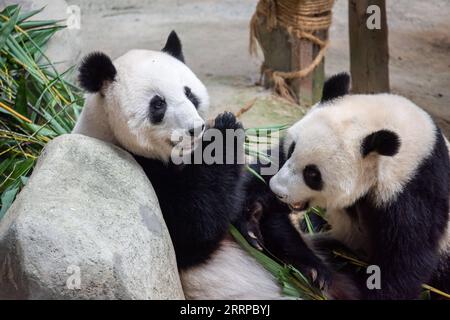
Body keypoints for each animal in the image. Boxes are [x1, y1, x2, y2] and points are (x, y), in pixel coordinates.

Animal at [73, 31, 348, 298]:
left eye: (188, 93)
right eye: (158, 104)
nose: (197, 128)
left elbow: (265, 211)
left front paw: (312, 270)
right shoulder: (141, 177)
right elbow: (194, 227)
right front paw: (224, 129)